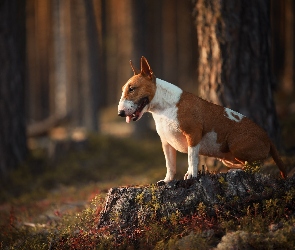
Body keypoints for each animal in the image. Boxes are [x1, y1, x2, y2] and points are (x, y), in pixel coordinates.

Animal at [118, 56, 286, 183]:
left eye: (132, 88)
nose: (120, 113)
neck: (164, 107)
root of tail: (267, 137)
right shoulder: (166, 142)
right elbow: (170, 164)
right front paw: (167, 181)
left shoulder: (193, 134)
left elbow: (192, 157)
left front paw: (191, 175)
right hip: (227, 157)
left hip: (236, 145)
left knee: (254, 167)